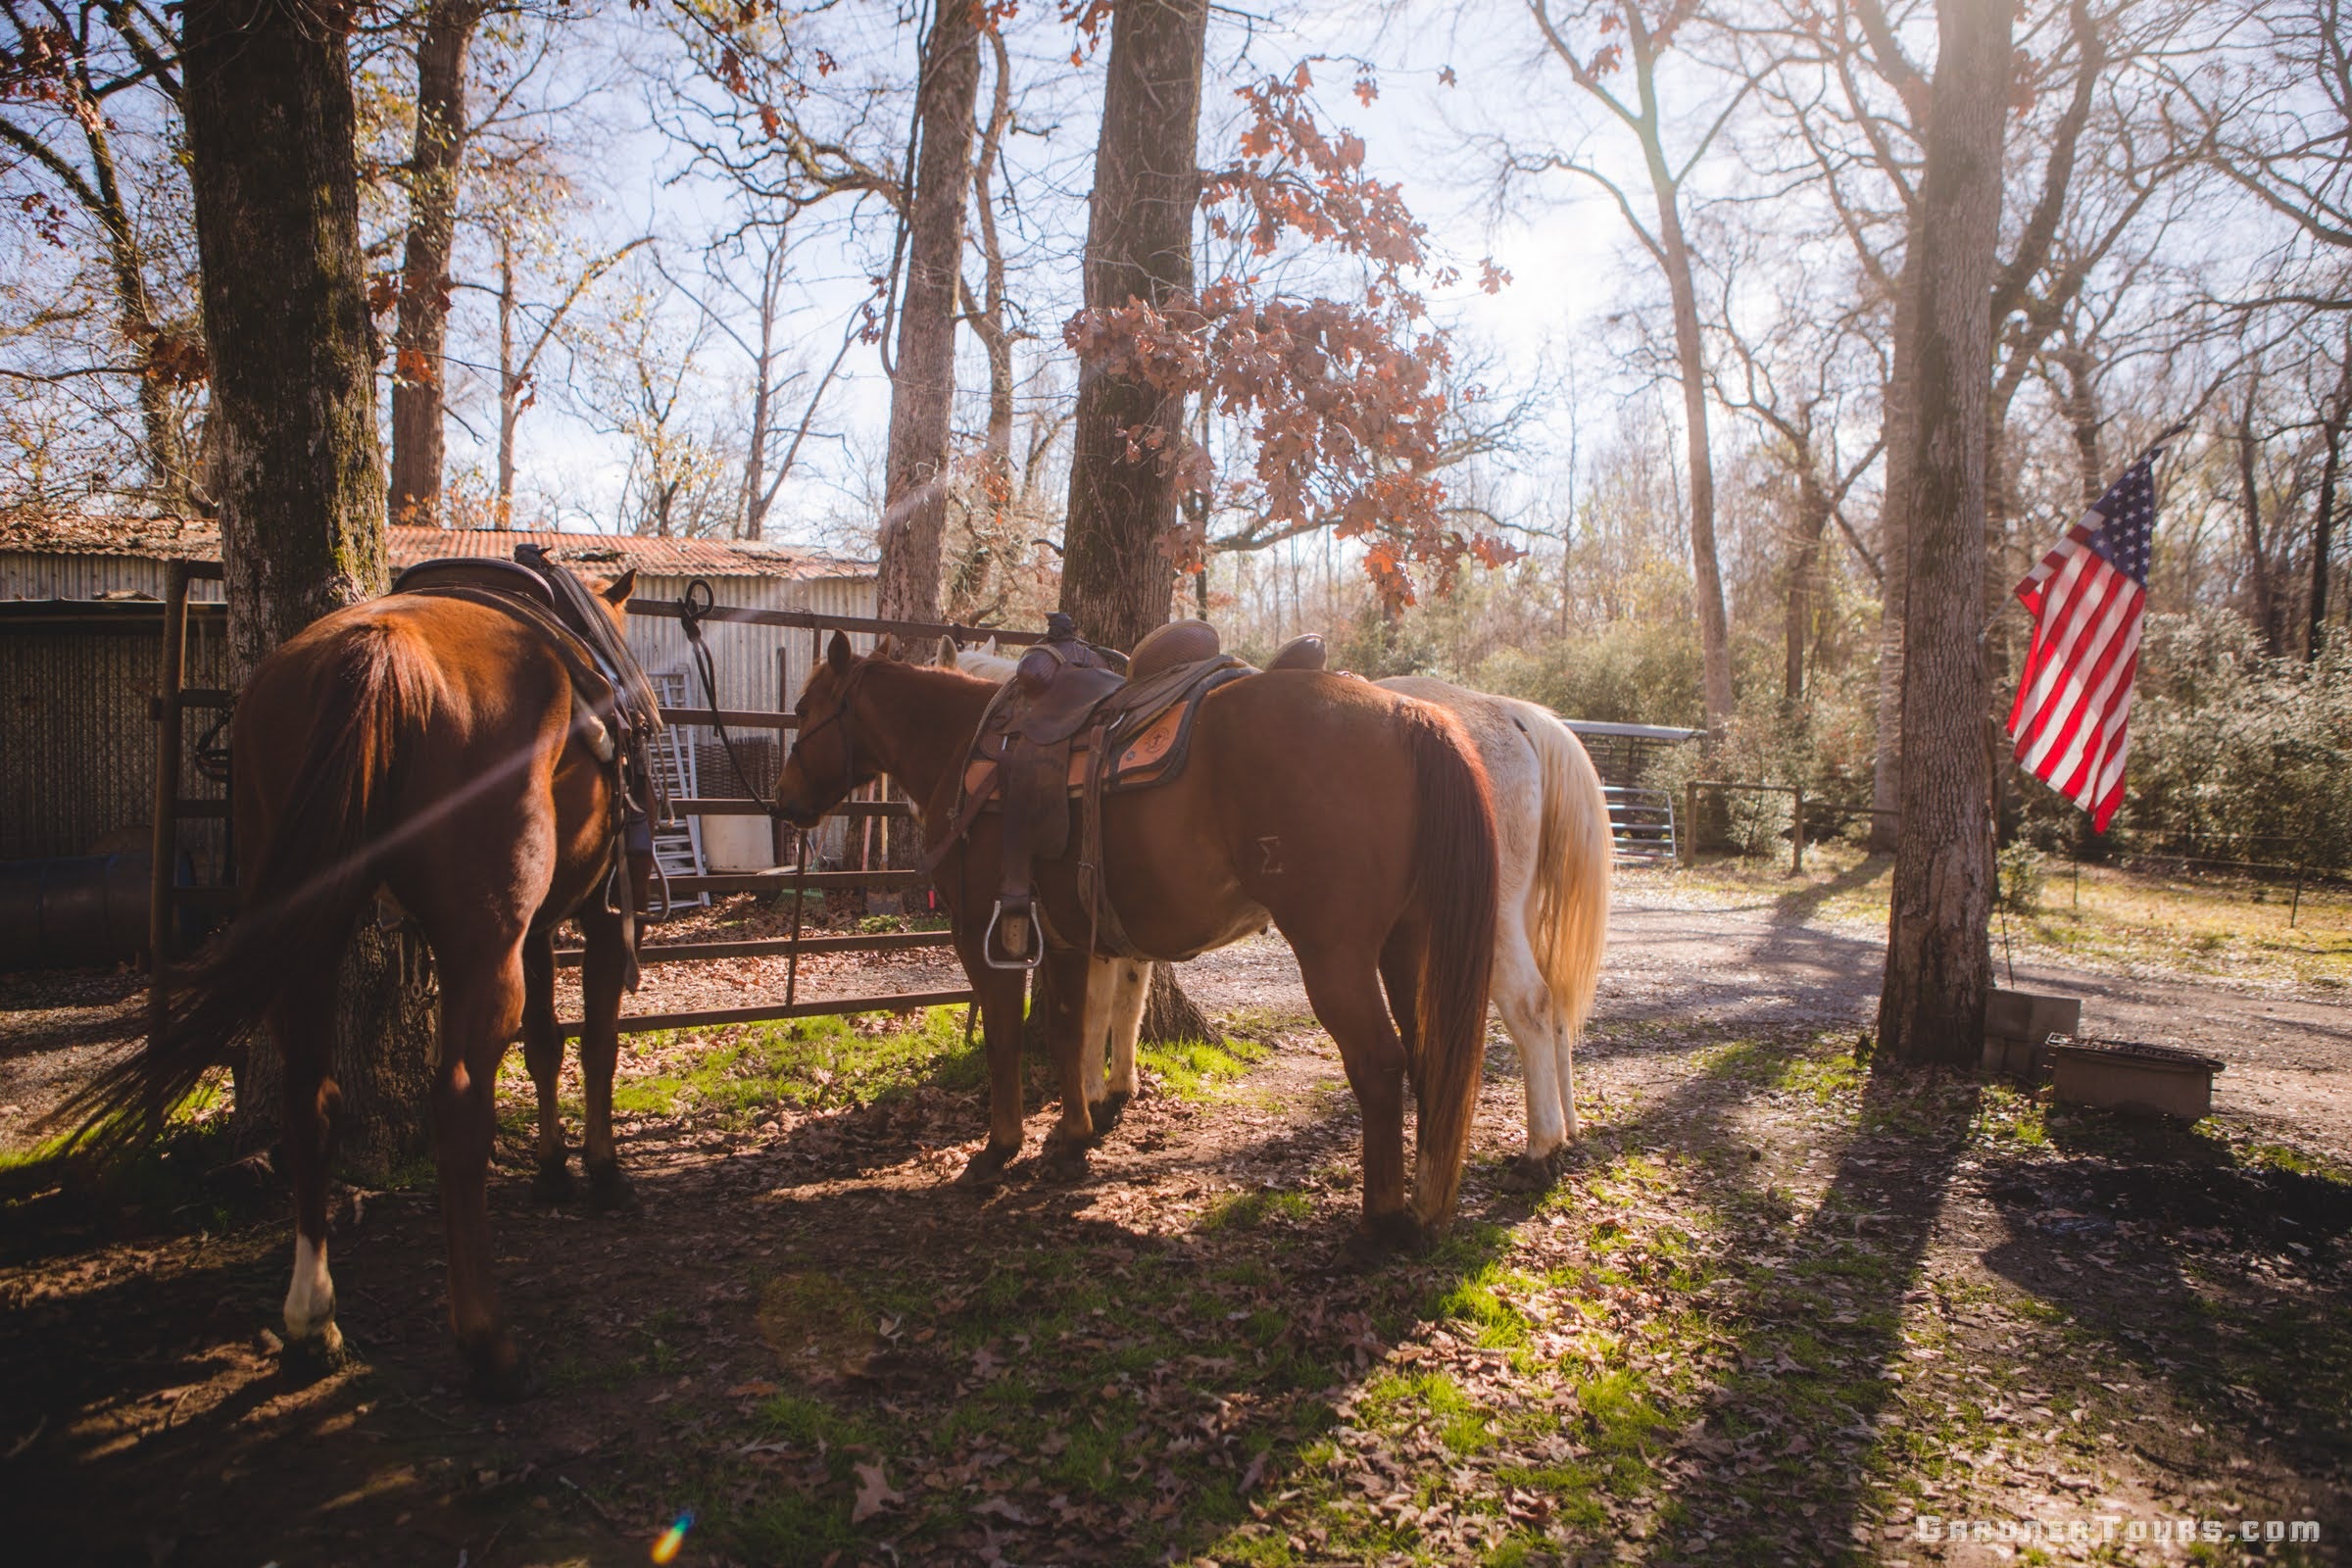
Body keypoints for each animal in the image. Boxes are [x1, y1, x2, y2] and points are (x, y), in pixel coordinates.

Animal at [67, 569, 654, 1399]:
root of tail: (378, 648)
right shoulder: (599, 919)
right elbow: (596, 1045)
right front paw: (600, 1173)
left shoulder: (541, 930)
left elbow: (547, 1046)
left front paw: (552, 1170)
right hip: (481, 947)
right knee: (459, 1105)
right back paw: (486, 1341)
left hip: (311, 934)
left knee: (310, 1099)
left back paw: (313, 1322)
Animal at [781, 633, 1500, 1250]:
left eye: (802, 709)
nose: (785, 803)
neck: (969, 749)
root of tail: (1407, 716)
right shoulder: (1066, 939)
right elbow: (1070, 1031)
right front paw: (1071, 1138)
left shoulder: (985, 930)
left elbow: (1007, 1038)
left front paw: (1000, 1148)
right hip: (1407, 946)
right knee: (1426, 1050)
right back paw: (1424, 1201)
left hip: (1335, 956)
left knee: (1378, 1063)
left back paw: (1381, 1221)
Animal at [951, 646, 1611, 1182]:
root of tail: (1509, 716)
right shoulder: (1108, 931)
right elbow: (1115, 1004)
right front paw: (1103, 1093)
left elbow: (1092, 1010)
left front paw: (1083, 1107)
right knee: (1553, 1007)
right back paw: (1566, 1129)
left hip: (1485, 922)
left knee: (1530, 1007)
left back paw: (1540, 1145)